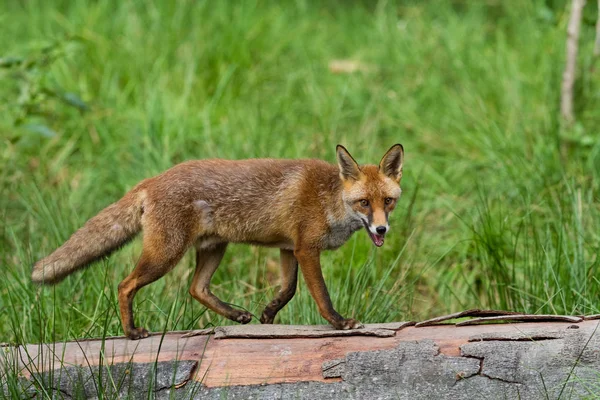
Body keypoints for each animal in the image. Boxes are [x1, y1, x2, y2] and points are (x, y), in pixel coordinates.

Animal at [35, 144, 406, 338]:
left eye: (388, 201)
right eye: (364, 203)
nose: (381, 230)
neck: (330, 199)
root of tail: (152, 180)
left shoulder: (289, 248)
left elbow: (288, 290)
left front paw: (268, 314)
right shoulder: (305, 248)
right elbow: (321, 296)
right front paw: (341, 323)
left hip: (214, 248)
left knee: (196, 288)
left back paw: (236, 315)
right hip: (165, 255)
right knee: (125, 285)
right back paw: (132, 332)